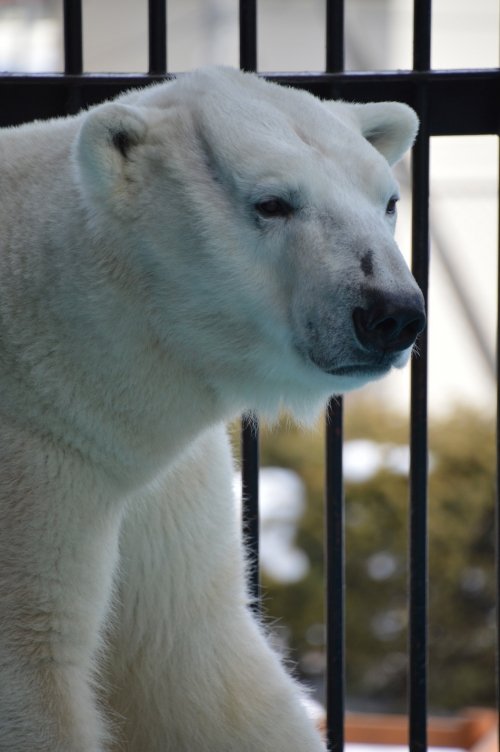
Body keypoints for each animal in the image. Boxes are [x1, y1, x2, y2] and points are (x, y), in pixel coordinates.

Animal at [0, 67, 422, 748]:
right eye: (271, 203)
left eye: (388, 201)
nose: (391, 313)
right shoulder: (37, 464)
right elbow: (32, 661)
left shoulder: (162, 479)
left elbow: (197, 658)